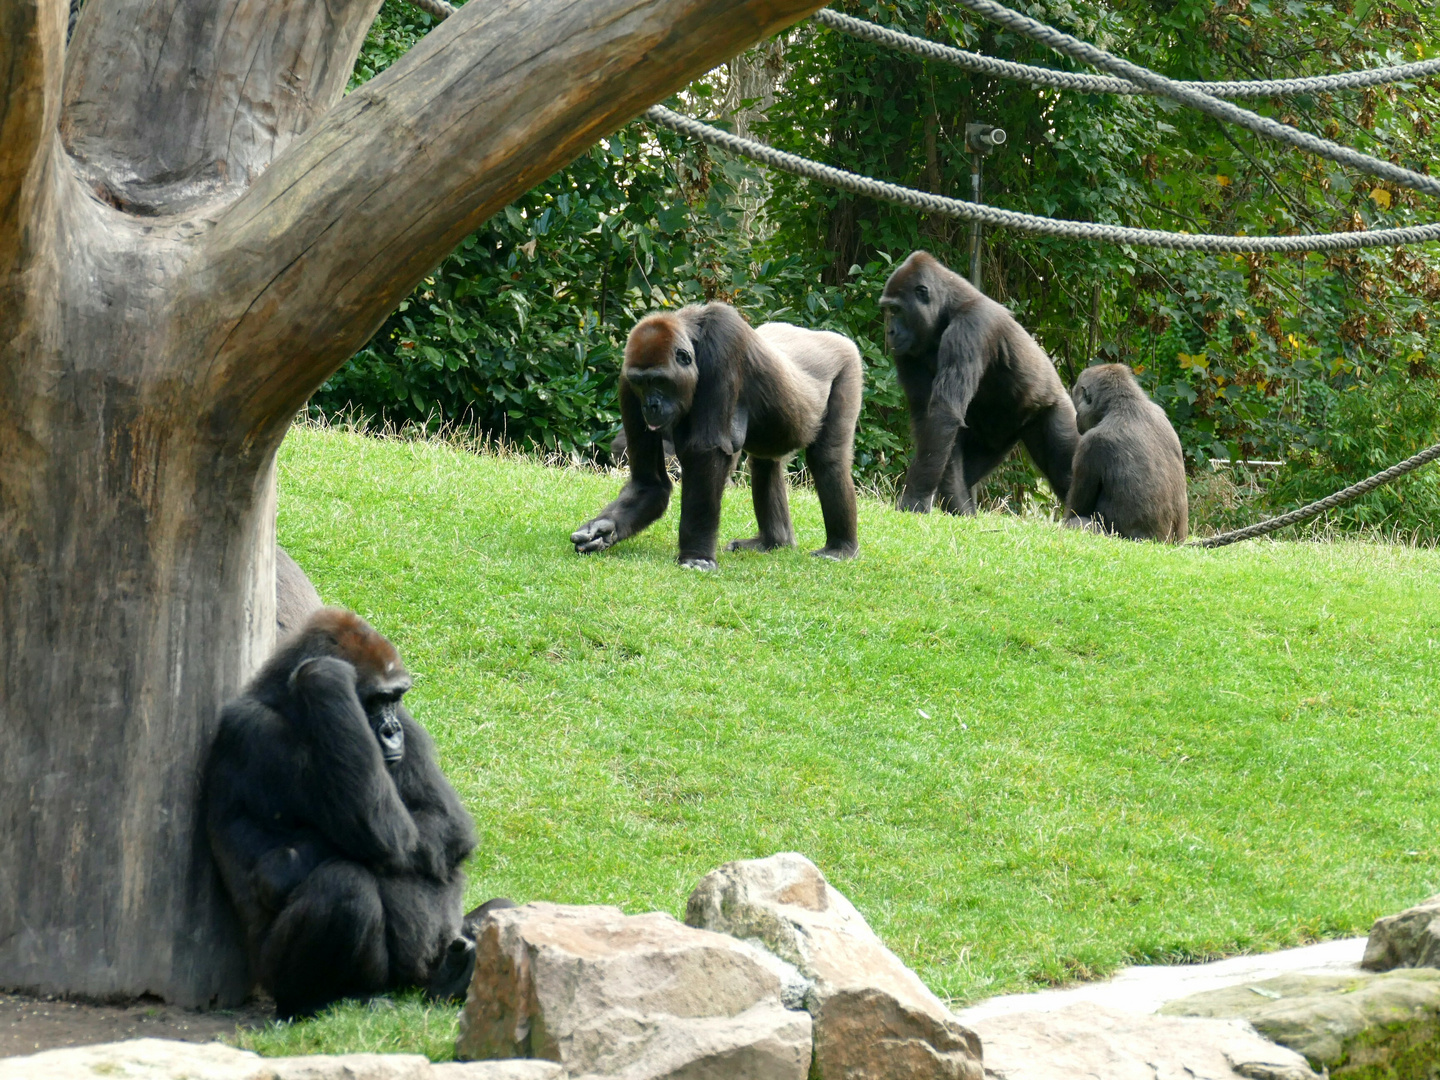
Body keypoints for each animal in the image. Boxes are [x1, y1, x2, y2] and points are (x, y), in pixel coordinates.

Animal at [205, 613, 480, 1019]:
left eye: (394, 699)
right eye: (374, 700)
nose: (392, 731)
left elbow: (446, 825)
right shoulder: (254, 730)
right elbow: (379, 836)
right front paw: (323, 676)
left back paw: (454, 975)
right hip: (270, 975)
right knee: (345, 886)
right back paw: (318, 1001)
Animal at [570, 300, 864, 570]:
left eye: (659, 380)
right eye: (641, 383)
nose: (650, 406)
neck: (693, 333)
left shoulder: (723, 340)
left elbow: (706, 453)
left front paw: (696, 554)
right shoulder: (626, 379)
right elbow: (649, 483)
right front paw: (605, 529)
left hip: (848, 364)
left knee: (828, 458)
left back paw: (840, 547)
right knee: (765, 463)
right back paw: (772, 542)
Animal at [869, 252, 1077, 512]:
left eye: (897, 309)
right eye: (889, 310)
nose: (890, 332)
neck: (946, 309)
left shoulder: (971, 327)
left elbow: (942, 415)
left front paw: (915, 499)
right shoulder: (907, 350)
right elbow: (932, 420)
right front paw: (956, 505)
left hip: (1056, 406)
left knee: (1065, 471)